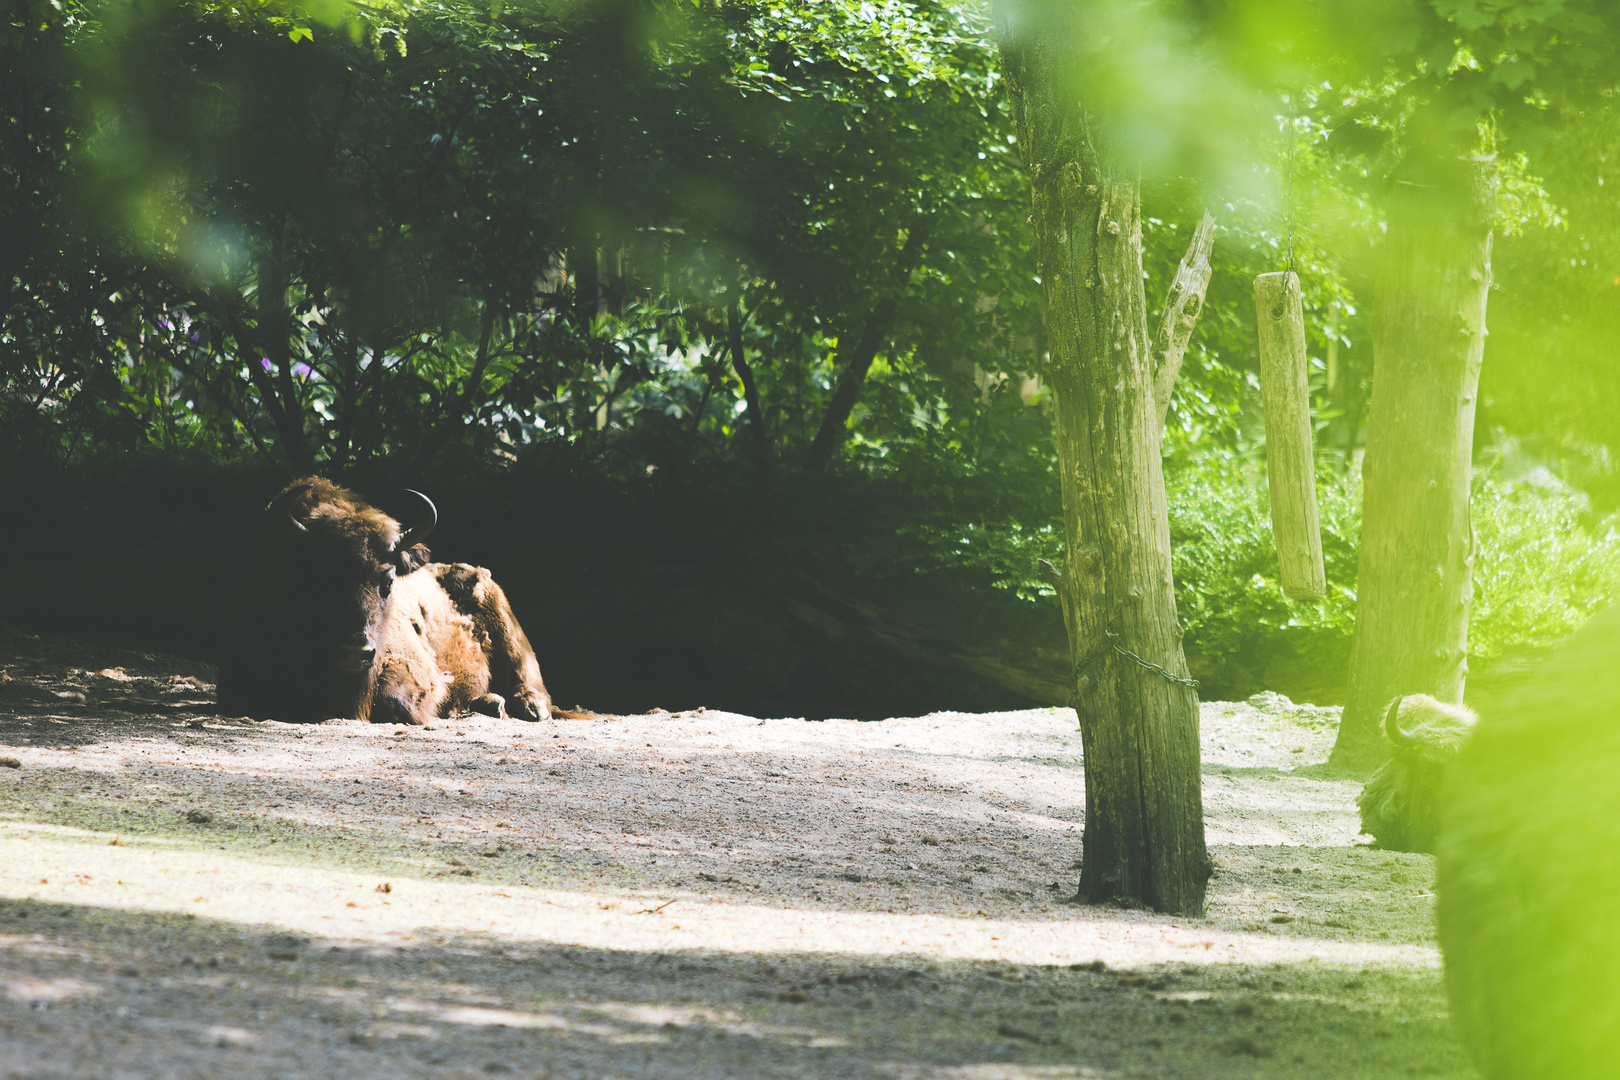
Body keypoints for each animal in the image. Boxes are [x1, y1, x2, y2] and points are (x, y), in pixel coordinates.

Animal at [218, 479, 554, 725]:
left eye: (388, 581)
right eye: (319, 579)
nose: (357, 652)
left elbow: (397, 700)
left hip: (499, 612)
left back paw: (529, 708)